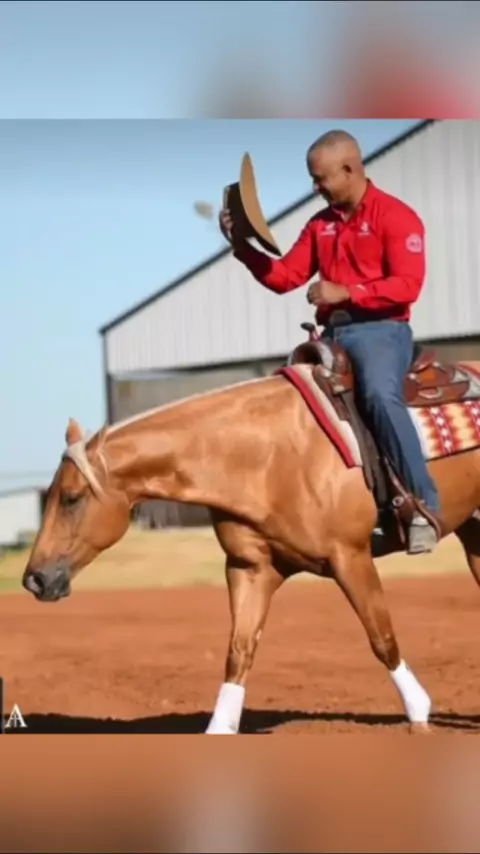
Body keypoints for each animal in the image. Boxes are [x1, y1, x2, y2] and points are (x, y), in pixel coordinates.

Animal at [21, 325, 480, 734]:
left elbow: (381, 636)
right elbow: (239, 653)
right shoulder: (251, 569)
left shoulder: (350, 557)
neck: (270, 454)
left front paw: (419, 714)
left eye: (72, 498)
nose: (34, 579)